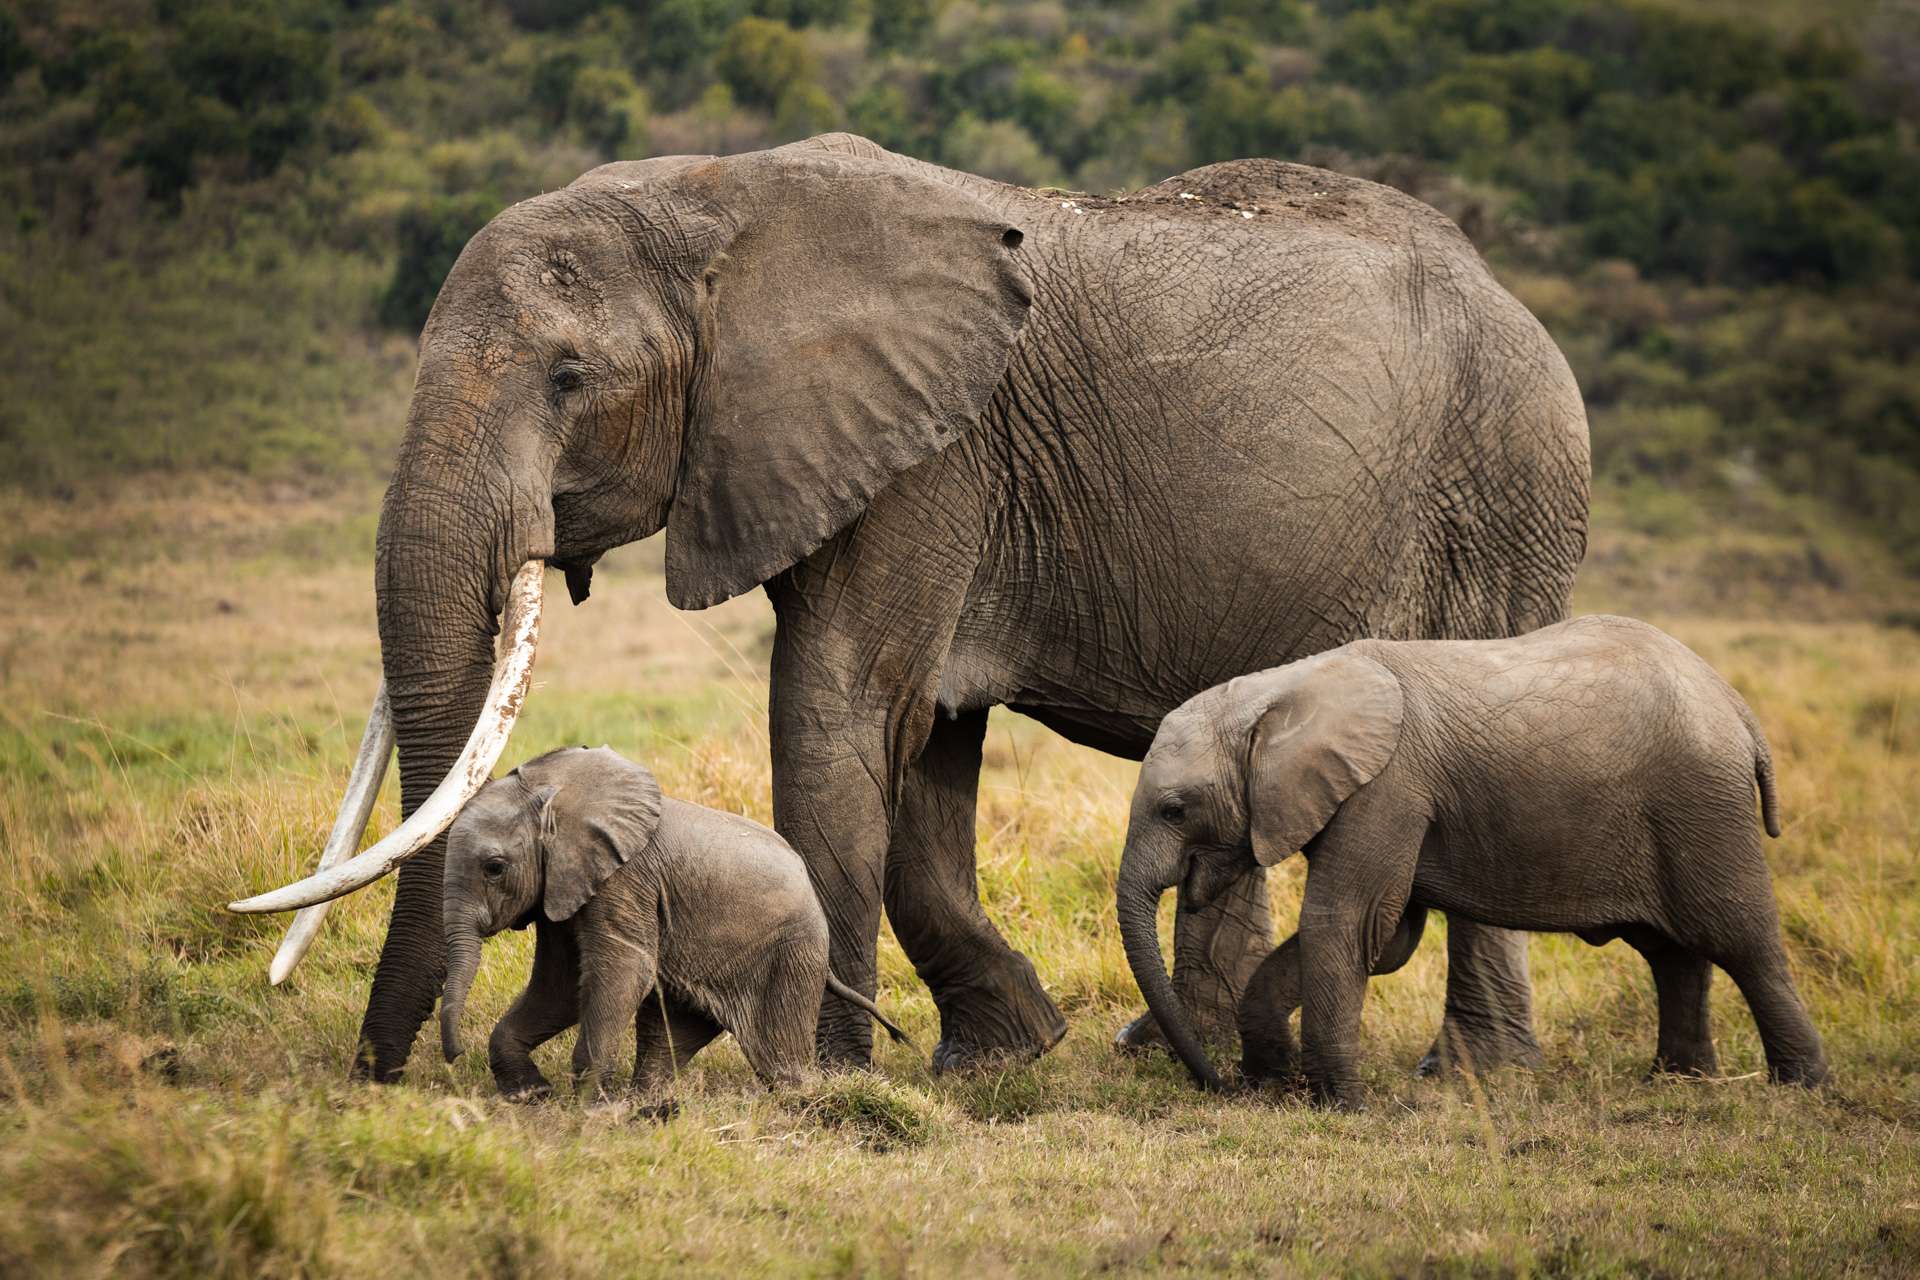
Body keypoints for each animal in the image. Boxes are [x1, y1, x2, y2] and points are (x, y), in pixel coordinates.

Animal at [441, 744, 906, 1105]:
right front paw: (529, 1094)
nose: (454, 1057)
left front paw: (594, 1107)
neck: (552, 789)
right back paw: (650, 1104)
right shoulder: (563, 886)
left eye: (494, 867)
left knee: (778, 1056)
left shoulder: (625, 880)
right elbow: (561, 985)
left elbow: (622, 972)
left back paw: (800, 1099)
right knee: (673, 1027)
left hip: (792, 953)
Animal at [1121, 614, 1827, 1105]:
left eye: (1175, 810)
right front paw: (1272, 1082)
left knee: (1740, 938)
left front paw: (1337, 1105)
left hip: (1704, 805)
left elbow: (1348, 923)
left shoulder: (1390, 785)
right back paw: (1678, 1082)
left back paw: (1800, 1087)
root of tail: (1738, 708)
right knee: (1671, 952)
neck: (1280, 690)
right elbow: (1387, 938)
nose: (1217, 1085)